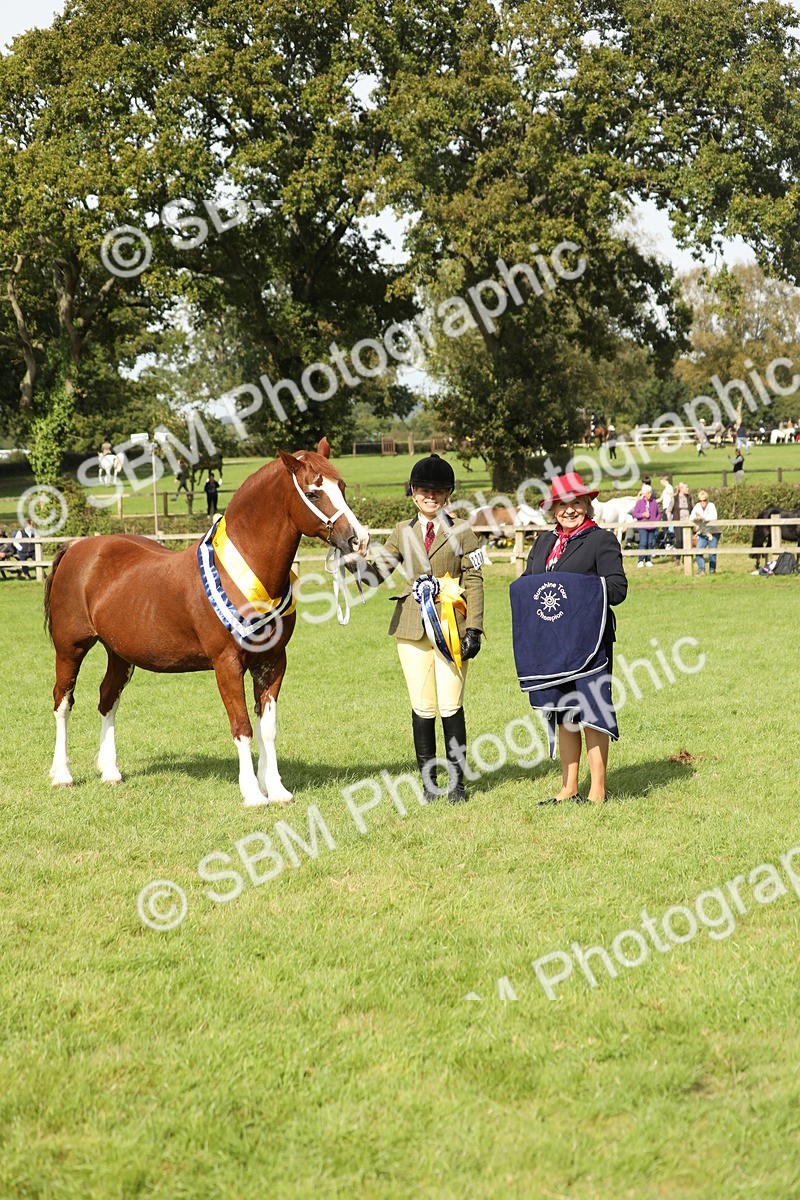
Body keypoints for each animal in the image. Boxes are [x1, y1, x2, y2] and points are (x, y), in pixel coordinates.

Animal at [44, 438, 369, 807]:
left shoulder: (272, 662)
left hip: (120, 654)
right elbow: (242, 726)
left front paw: (276, 789)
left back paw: (110, 771)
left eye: (342, 487)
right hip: (70, 648)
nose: (359, 540)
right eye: (313, 493)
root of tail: (77, 547)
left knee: (107, 699)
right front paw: (252, 793)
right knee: (63, 702)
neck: (245, 574)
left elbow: (267, 728)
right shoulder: (226, 664)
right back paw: (63, 774)